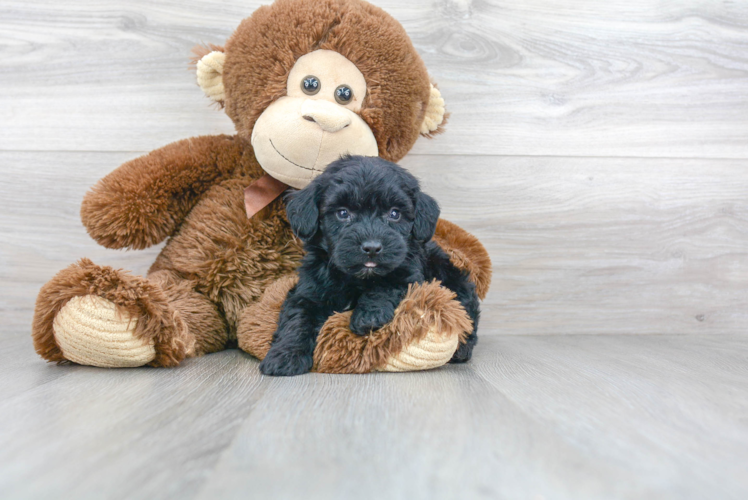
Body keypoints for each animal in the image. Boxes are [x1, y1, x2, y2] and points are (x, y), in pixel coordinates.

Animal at [258, 156, 480, 376]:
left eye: (394, 213)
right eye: (343, 213)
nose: (372, 247)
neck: (355, 278)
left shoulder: (407, 273)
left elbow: (387, 284)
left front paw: (369, 316)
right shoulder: (308, 290)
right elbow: (297, 318)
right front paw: (285, 355)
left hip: (452, 279)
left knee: (467, 316)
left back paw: (462, 349)